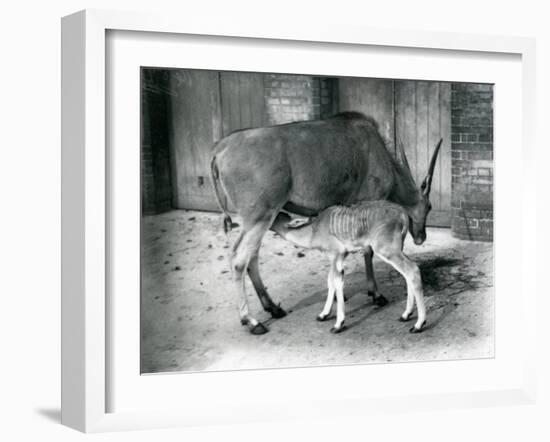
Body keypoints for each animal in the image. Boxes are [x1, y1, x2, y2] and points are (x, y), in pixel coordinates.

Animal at [270, 202, 430, 334]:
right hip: (397, 249)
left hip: (387, 250)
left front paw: (338, 324)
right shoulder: (339, 258)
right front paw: (324, 314)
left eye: (274, 218)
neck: (314, 231)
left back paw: (418, 324)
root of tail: (402, 213)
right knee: (408, 272)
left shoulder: (336, 255)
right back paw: (406, 315)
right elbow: (331, 281)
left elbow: (336, 282)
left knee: (412, 270)